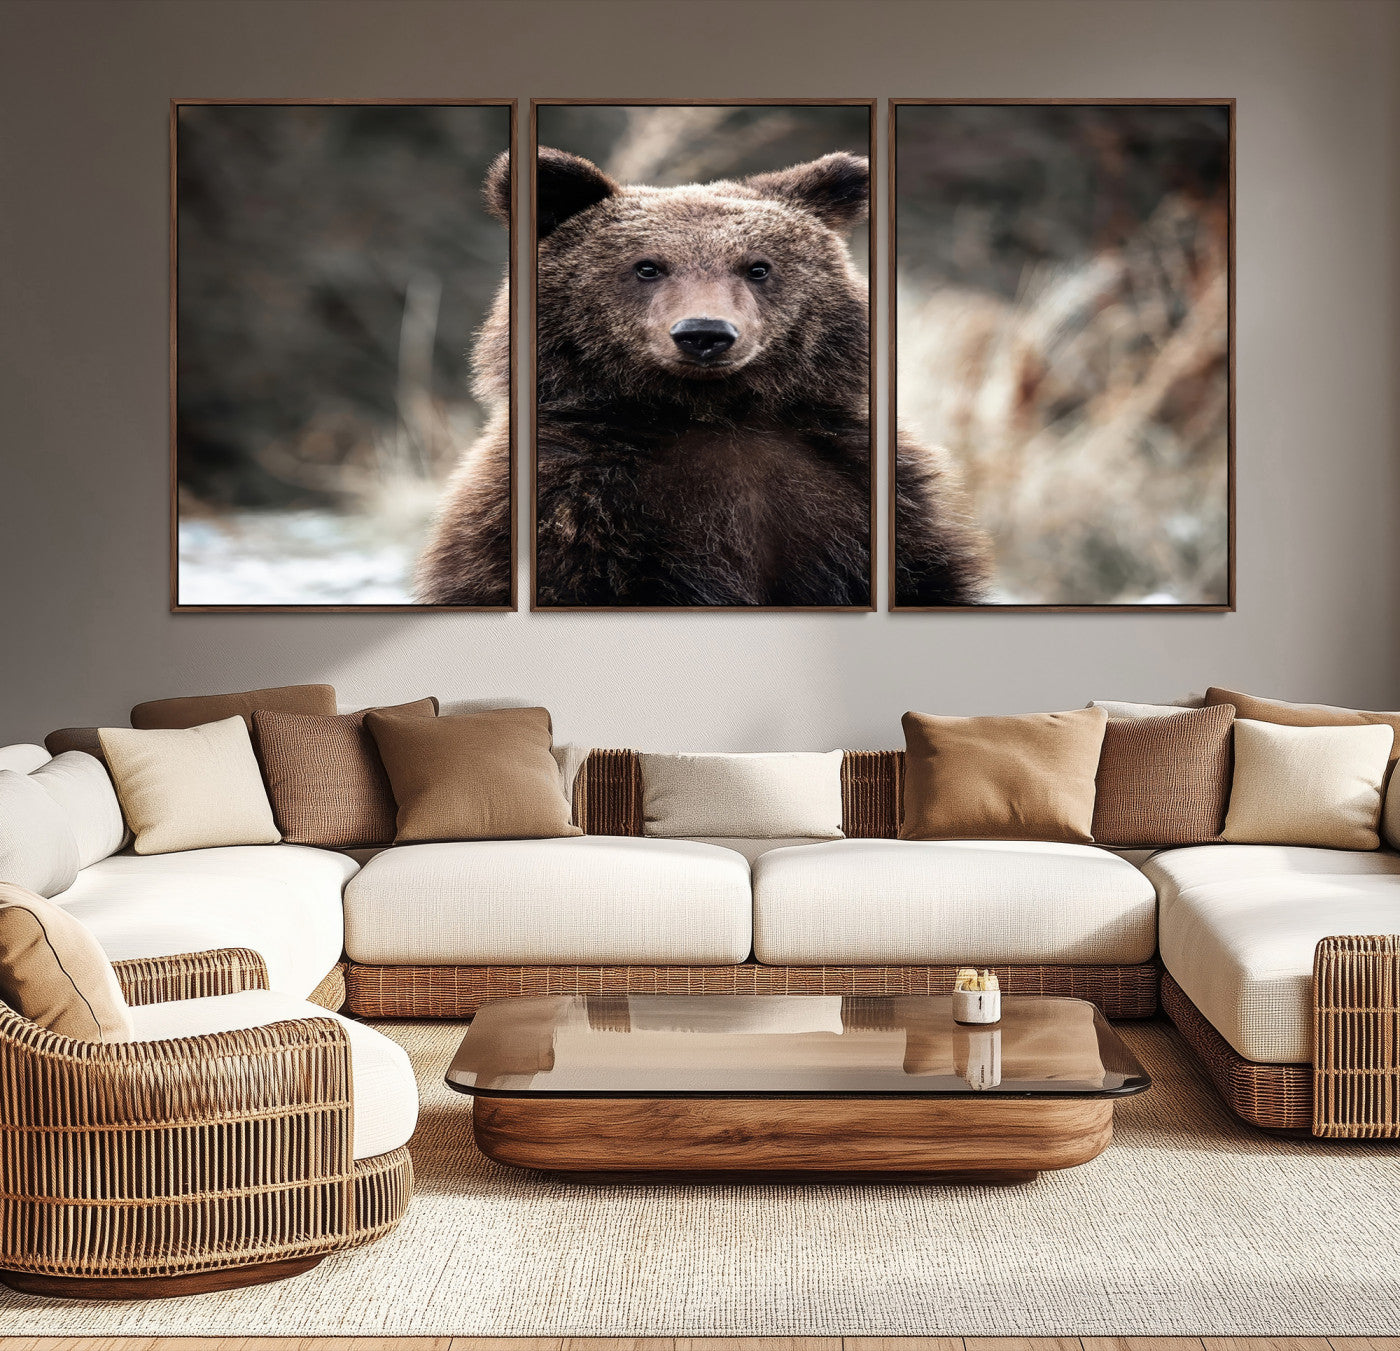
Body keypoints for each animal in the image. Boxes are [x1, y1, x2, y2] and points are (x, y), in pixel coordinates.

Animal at [416, 147, 987, 607]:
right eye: (647, 266)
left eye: (758, 267)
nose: (704, 333)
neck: (711, 412)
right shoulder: (573, 504)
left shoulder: (856, 490)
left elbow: (924, 576)